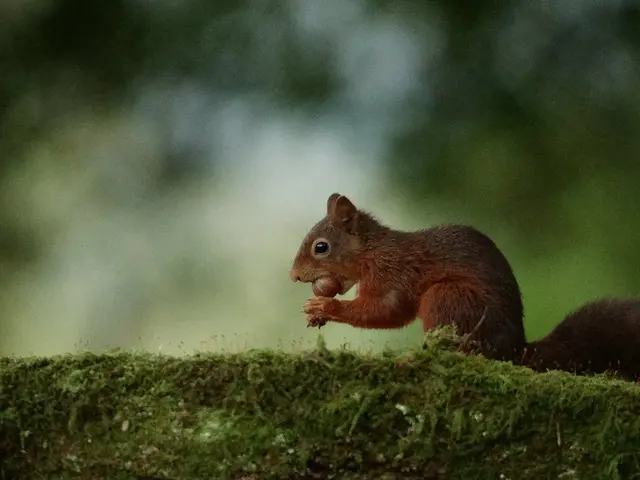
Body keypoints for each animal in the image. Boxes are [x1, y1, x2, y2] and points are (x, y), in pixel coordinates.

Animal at [289, 193, 640, 380]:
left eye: (321, 248)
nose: (293, 276)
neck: (372, 251)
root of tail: (513, 351)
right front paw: (315, 315)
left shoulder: (392, 274)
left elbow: (388, 310)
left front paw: (325, 307)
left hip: (448, 297)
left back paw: (414, 358)